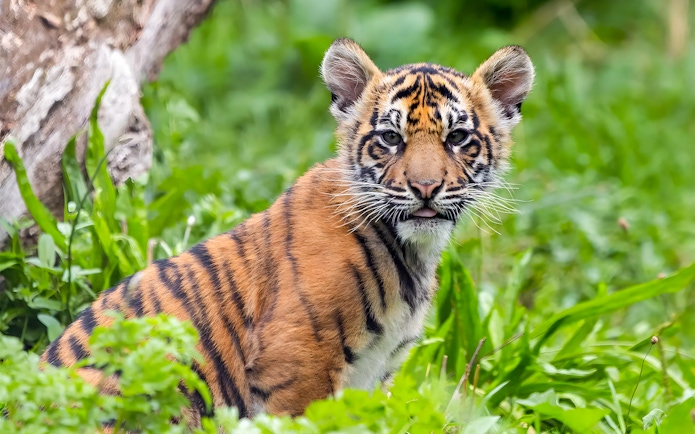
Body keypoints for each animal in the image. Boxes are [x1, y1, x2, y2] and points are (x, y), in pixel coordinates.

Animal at [41, 37, 534, 422]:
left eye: (457, 138)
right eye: (391, 139)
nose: (426, 188)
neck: (412, 252)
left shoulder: (375, 374)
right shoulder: (298, 364)